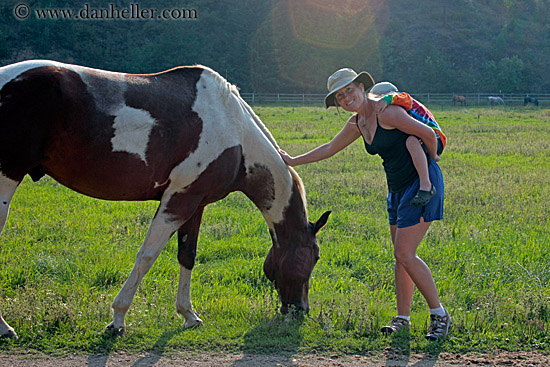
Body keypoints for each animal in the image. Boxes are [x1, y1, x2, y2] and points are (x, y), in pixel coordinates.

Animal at [0, 59, 332, 340]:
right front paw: (117, 319)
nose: (301, 311)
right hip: (7, 178)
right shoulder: (178, 200)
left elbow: (188, 255)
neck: (234, 130)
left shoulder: (196, 203)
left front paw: (189, 315)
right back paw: (5, 328)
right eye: (315, 256)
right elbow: (147, 255)